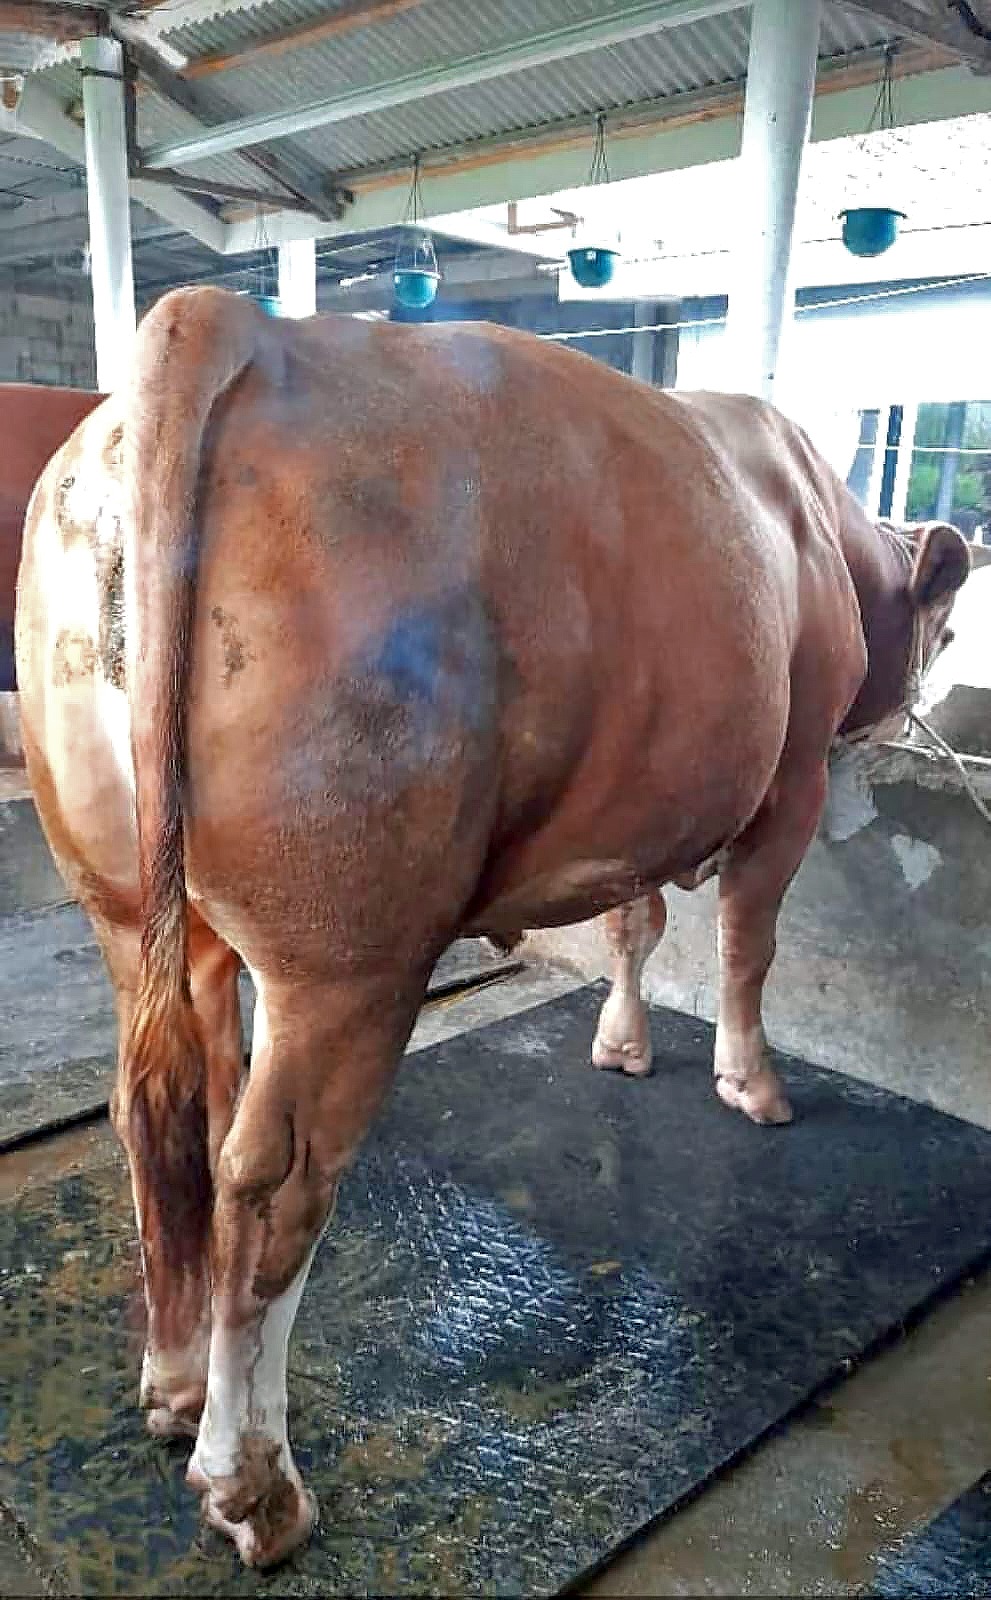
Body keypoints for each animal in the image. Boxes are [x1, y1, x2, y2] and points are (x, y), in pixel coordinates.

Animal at [14, 287, 969, 1568]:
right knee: (272, 1179)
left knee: (167, 1112)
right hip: (349, 952)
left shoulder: (637, 802)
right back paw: (254, 1485)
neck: (817, 524)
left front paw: (622, 1045)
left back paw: (173, 1388)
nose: (914, 718)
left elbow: (633, 922)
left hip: (138, 907)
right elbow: (744, 944)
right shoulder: (790, 784)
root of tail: (230, 320)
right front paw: (750, 1082)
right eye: (949, 628)